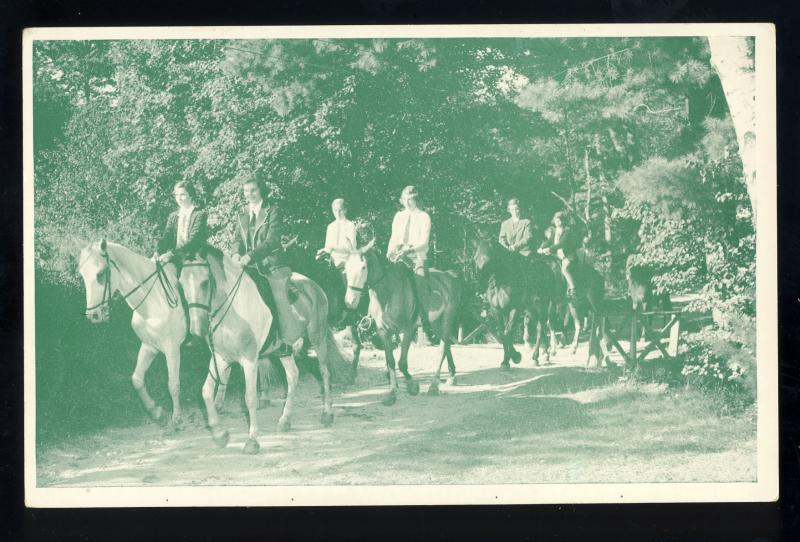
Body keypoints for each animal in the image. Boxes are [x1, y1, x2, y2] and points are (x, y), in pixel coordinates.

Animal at [77, 241, 184, 424]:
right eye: (82, 275)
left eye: (100, 273)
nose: (93, 316)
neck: (155, 299)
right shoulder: (149, 346)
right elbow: (137, 379)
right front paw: (156, 411)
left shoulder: (172, 349)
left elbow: (173, 384)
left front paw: (176, 417)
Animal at [180, 250, 346, 454]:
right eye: (181, 282)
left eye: (205, 282)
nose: (196, 331)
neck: (233, 309)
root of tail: (314, 287)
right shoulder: (220, 358)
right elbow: (206, 392)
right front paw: (220, 435)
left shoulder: (249, 360)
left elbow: (250, 398)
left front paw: (252, 441)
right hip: (284, 351)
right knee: (293, 376)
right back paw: (285, 420)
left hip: (318, 338)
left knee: (324, 372)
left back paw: (327, 414)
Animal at [342, 244, 462, 402]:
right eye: (346, 267)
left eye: (363, 267)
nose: (350, 302)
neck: (388, 291)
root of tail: (449, 276)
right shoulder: (384, 331)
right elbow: (390, 361)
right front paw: (392, 391)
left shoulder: (407, 330)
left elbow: (402, 363)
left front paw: (412, 386)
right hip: (436, 322)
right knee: (446, 344)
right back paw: (451, 376)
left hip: (447, 318)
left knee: (442, 348)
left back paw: (434, 386)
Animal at [472, 239, 552, 370]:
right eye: (475, 258)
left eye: (487, 259)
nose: (479, 287)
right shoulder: (497, 310)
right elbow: (503, 333)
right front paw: (506, 361)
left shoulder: (515, 309)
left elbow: (507, 332)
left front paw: (515, 356)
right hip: (531, 309)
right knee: (540, 328)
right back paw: (544, 354)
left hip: (541, 307)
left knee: (540, 328)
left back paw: (536, 356)